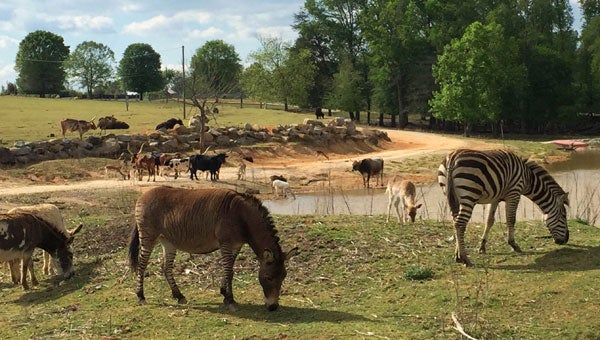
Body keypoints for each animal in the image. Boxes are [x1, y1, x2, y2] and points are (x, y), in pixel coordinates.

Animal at [438, 150, 568, 266]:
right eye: (563, 216)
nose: (566, 239)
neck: (527, 178)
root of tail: (452, 158)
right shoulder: (514, 194)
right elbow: (511, 220)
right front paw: (513, 245)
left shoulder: (495, 198)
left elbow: (489, 221)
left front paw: (482, 247)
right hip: (469, 195)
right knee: (460, 223)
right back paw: (465, 258)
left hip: (453, 197)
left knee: (456, 223)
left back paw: (458, 255)